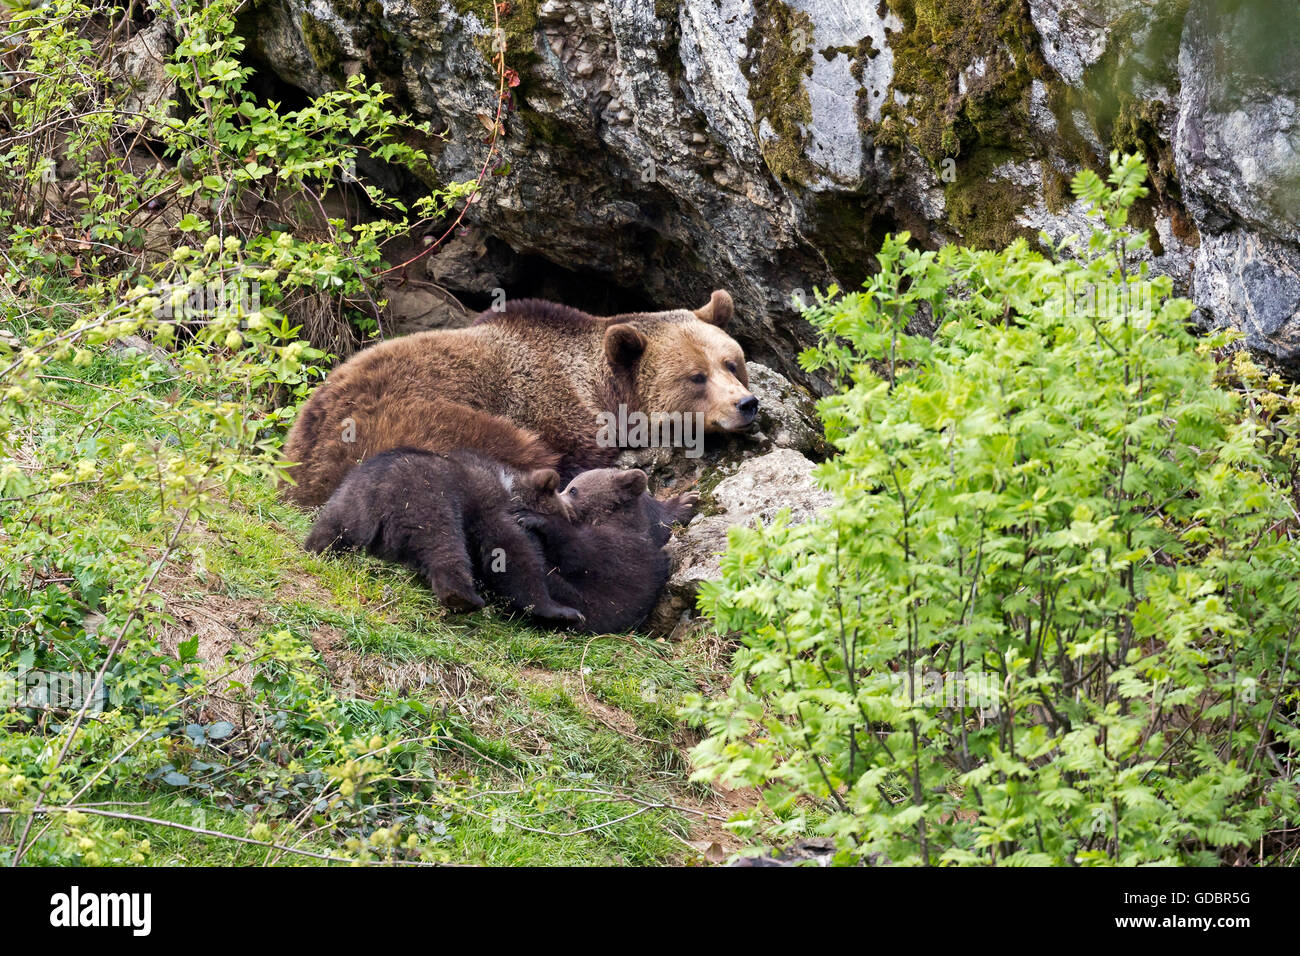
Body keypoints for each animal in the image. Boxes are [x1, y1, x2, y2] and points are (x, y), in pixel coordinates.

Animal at [304, 450, 585, 629]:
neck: (511, 490)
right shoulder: (489, 510)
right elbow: (512, 557)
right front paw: (561, 611)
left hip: (348, 502)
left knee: (329, 530)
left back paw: (317, 548)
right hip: (428, 501)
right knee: (444, 545)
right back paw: (462, 597)